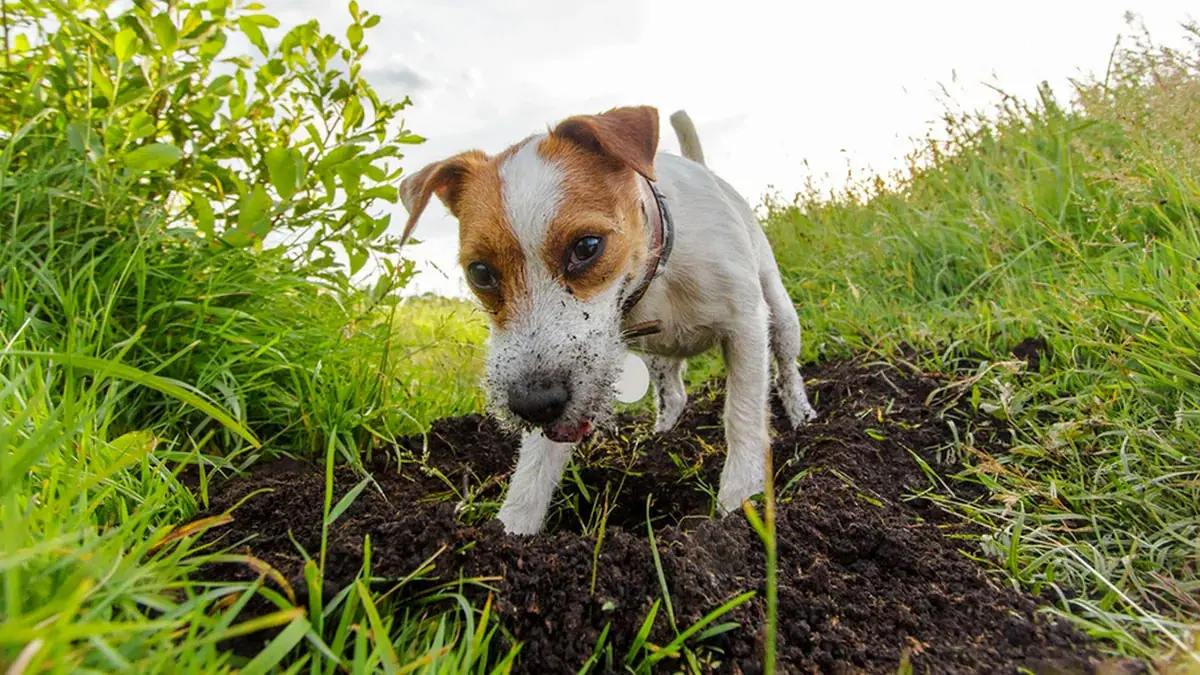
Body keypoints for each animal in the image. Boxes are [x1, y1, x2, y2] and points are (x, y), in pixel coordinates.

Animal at [398, 107, 820, 533]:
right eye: (480, 273)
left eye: (587, 247)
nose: (533, 403)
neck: (655, 271)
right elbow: (535, 462)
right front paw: (512, 527)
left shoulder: (745, 325)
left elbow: (743, 414)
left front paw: (741, 499)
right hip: (656, 359)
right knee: (674, 395)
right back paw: (662, 435)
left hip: (780, 314)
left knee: (786, 367)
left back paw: (802, 415)